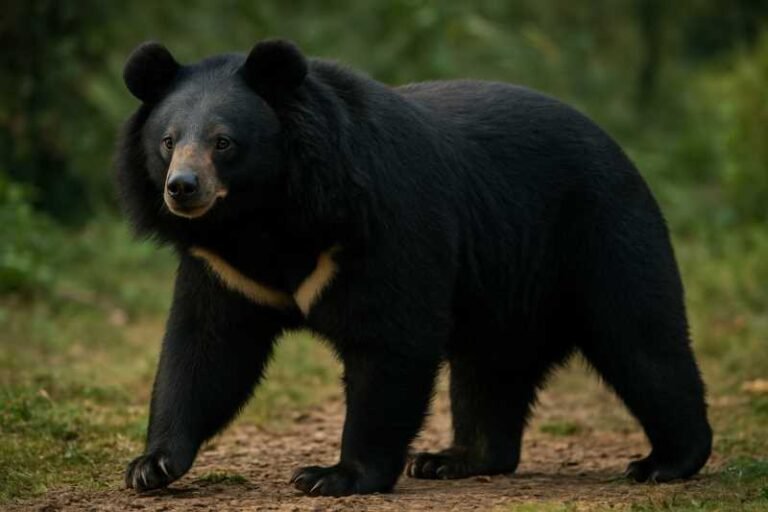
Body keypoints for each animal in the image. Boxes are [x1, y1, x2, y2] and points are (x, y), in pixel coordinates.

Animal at [117, 39, 712, 497]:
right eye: (167, 141)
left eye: (224, 142)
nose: (182, 189)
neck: (263, 216)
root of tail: (618, 148)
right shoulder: (224, 268)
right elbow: (205, 350)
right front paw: (151, 465)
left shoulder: (381, 223)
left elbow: (390, 339)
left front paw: (332, 475)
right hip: (505, 284)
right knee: (490, 370)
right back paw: (455, 458)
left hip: (599, 232)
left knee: (641, 342)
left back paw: (665, 461)